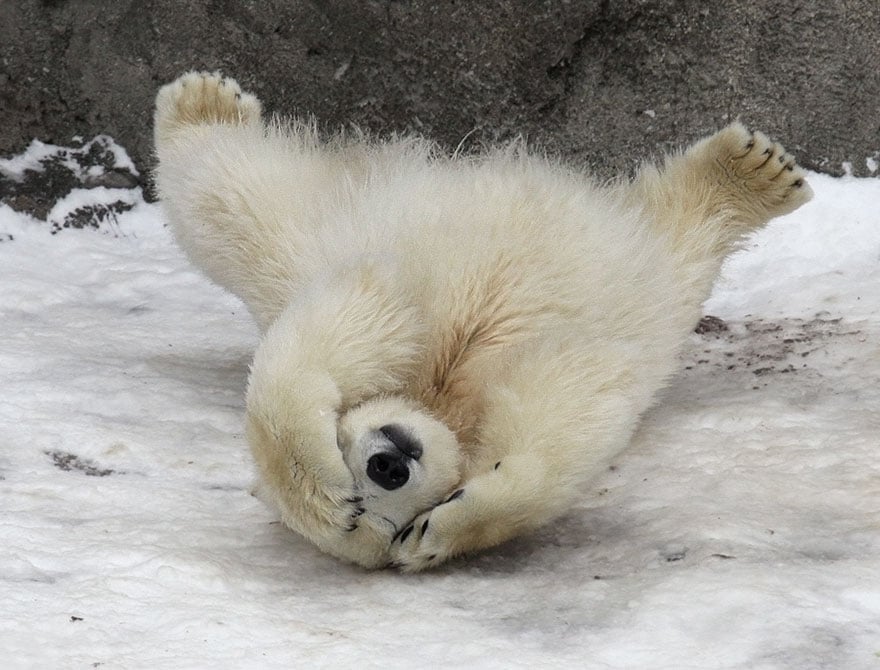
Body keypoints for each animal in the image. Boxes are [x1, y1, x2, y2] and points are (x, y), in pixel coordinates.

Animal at [153, 71, 812, 572]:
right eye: (378, 521)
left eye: (345, 453)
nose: (388, 463)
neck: (440, 395)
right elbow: (562, 405)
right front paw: (451, 526)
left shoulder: (391, 302)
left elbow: (351, 329)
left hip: (323, 234)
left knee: (238, 203)